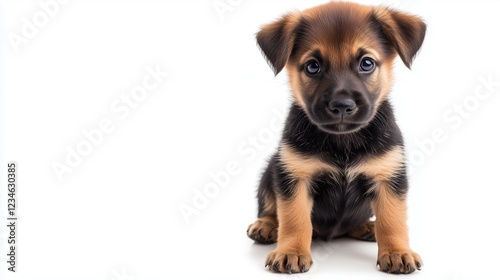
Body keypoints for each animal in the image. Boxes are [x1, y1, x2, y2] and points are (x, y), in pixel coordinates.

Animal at [246, 1, 426, 274]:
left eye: (366, 63)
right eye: (313, 66)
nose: (342, 106)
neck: (342, 142)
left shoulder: (388, 178)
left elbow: (392, 220)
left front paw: (397, 251)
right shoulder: (295, 177)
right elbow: (294, 219)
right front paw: (291, 251)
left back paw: (367, 227)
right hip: (271, 169)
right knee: (269, 209)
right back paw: (265, 225)